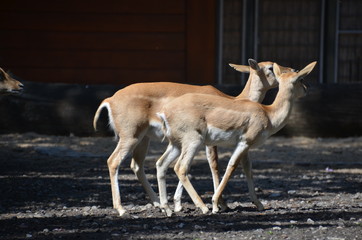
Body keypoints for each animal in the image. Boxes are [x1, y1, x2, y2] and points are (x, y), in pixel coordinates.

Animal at [92, 59, 294, 216]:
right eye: (270, 67)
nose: (291, 70)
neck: (234, 100)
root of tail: (109, 99)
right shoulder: (210, 143)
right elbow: (214, 165)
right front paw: (220, 204)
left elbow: (245, 167)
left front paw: (179, 204)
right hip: (131, 137)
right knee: (114, 161)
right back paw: (122, 209)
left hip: (144, 139)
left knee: (138, 166)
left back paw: (160, 205)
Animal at [156, 61, 316, 215]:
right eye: (301, 79)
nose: (307, 88)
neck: (268, 113)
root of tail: (164, 113)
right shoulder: (244, 143)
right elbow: (231, 167)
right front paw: (215, 204)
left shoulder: (245, 146)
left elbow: (248, 169)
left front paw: (259, 204)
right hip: (193, 142)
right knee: (180, 167)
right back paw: (203, 207)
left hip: (176, 145)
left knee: (161, 164)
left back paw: (168, 209)